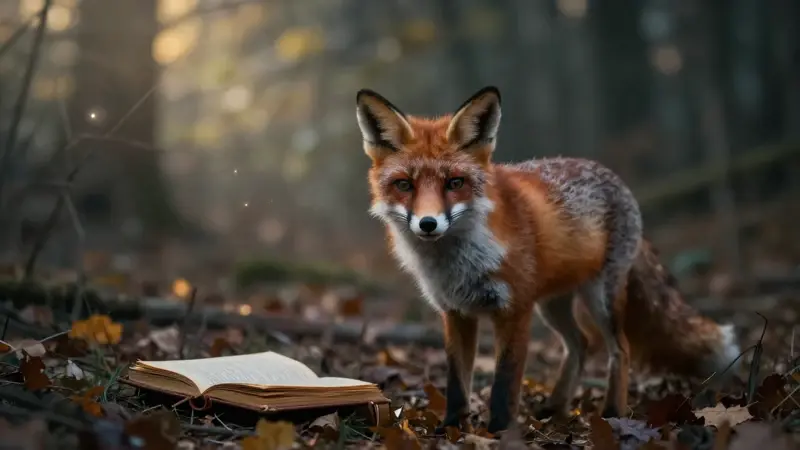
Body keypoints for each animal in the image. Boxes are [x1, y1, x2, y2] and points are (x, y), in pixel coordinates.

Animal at [354, 86, 741, 434]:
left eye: (455, 182)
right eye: (405, 185)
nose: (428, 223)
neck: (457, 263)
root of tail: (612, 176)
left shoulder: (514, 310)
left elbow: (504, 382)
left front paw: (499, 432)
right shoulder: (456, 313)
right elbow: (456, 382)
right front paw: (451, 428)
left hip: (600, 299)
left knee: (620, 349)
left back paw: (612, 412)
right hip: (553, 305)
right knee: (581, 345)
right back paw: (555, 407)